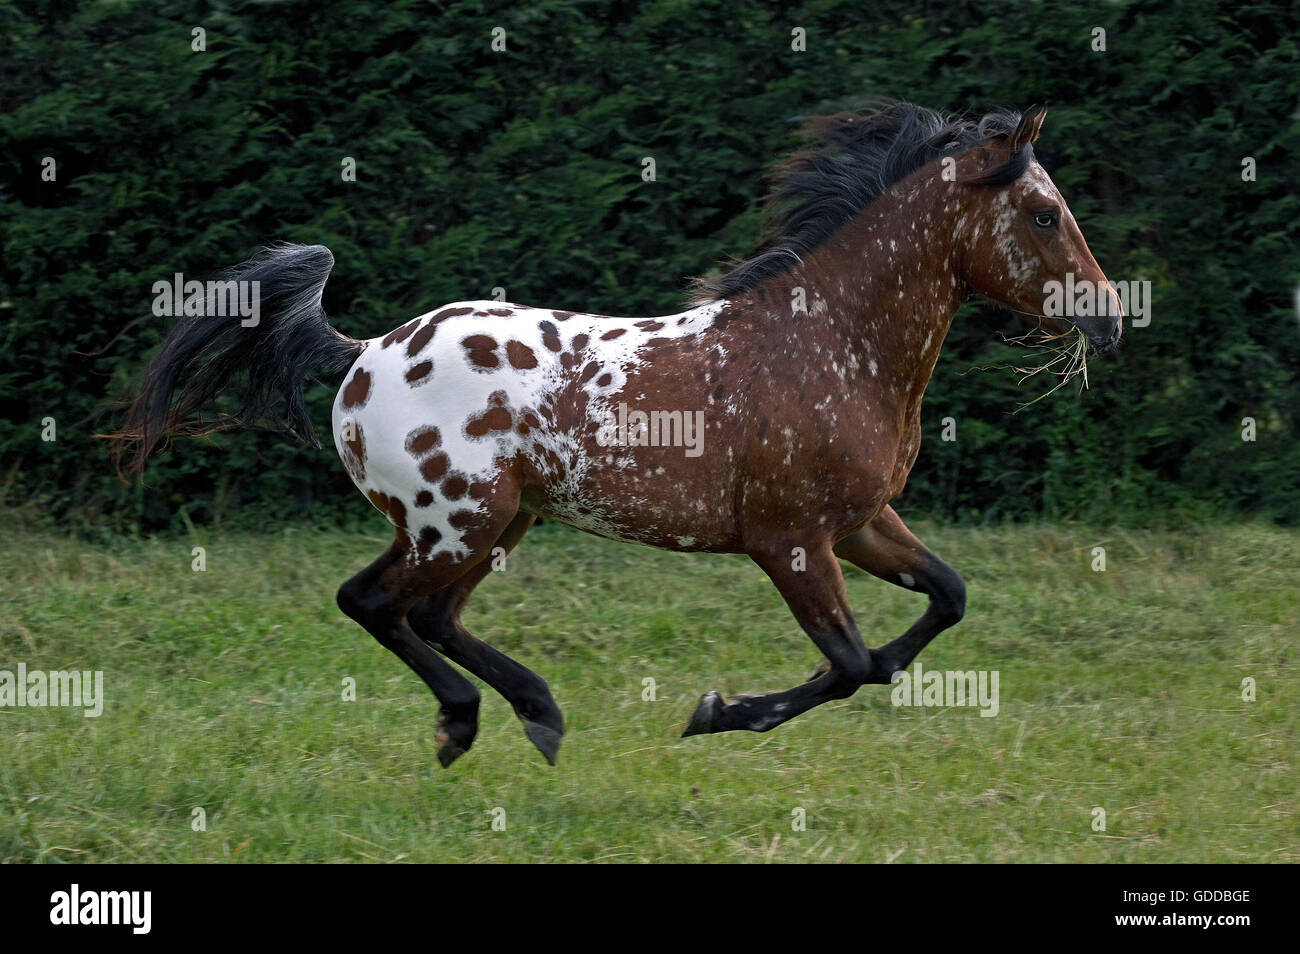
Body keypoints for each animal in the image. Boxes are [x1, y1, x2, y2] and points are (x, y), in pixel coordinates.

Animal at [111, 100, 1123, 764]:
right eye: (1043, 213)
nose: (1110, 316)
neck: (829, 342)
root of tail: (364, 354)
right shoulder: (790, 540)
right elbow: (850, 662)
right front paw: (715, 714)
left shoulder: (863, 522)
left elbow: (942, 602)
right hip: (457, 523)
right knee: (371, 602)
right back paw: (473, 721)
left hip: (499, 522)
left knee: (425, 614)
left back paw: (528, 716)